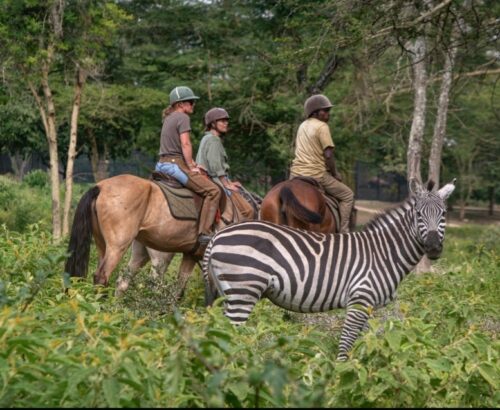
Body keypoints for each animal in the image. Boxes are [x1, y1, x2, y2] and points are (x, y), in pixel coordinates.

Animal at [64, 173, 260, 298]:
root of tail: (100, 187)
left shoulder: (191, 255)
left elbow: (179, 289)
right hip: (119, 247)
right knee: (102, 277)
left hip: (108, 246)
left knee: (122, 281)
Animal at [203, 178, 458, 360]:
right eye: (418, 214)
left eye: (444, 214)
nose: (433, 247)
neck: (384, 252)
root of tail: (216, 236)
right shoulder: (360, 299)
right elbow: (345, 345)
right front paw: (338, 377)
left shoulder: (369, 306)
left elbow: (363, 343)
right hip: (243, 291)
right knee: (230, 337)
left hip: (227, 293)